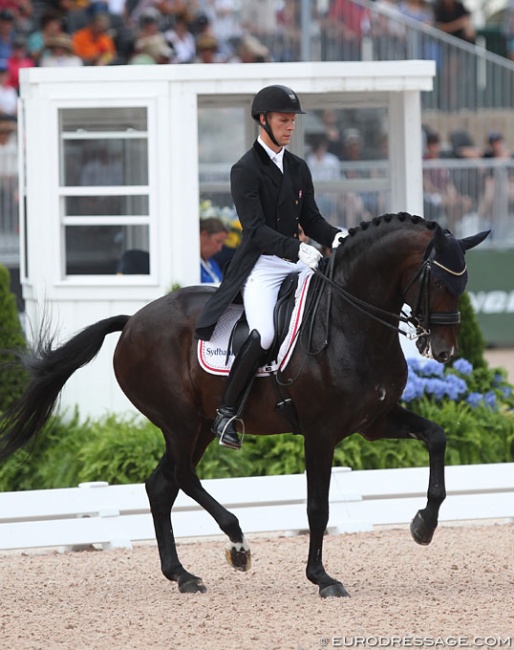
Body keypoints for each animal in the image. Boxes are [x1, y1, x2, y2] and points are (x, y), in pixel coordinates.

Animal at [0, 214, 486, 596]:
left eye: (464, 283)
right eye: (438, 281)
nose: (444, 351)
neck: (352, 323)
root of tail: (133, 319)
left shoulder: (376, 421)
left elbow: (437, 438)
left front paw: (423, 525)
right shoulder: (321, 432)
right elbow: (317, 506)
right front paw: (322, 578)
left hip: (196, 425)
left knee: (162, 485)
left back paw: (182, 575)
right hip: (179, 421)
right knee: (182, 477)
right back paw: (237, 543)